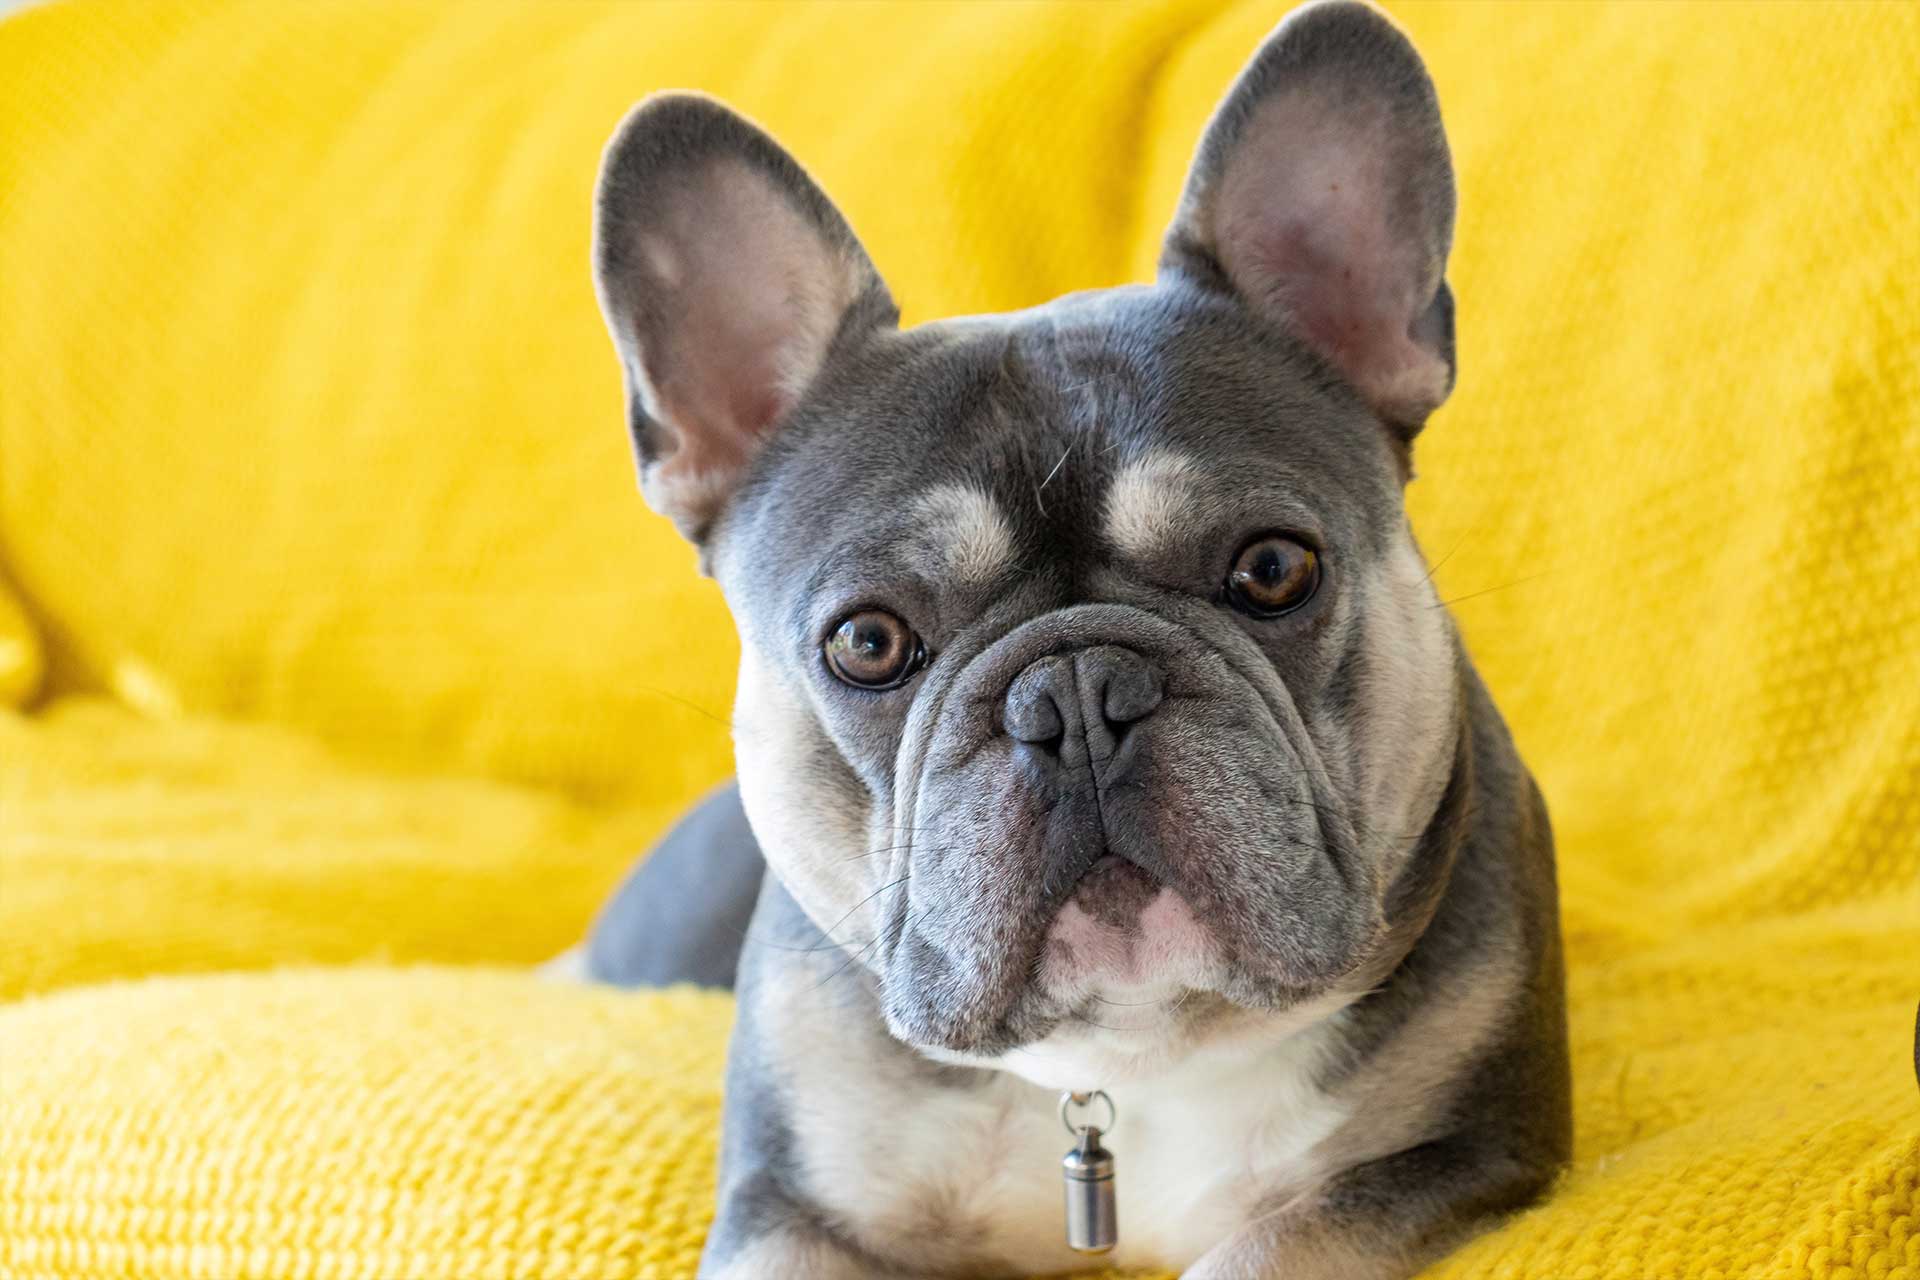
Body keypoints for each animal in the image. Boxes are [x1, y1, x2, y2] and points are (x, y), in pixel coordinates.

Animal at [576, 5, 1566, 1274]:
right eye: (866, 641)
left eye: (1273, 568)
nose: (1078, 692)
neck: (1119, 1060)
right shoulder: (788, 1208)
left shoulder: (1447, 1155)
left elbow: (1270, 1244)